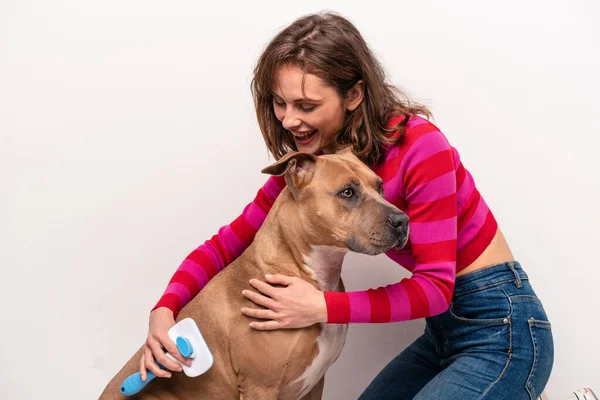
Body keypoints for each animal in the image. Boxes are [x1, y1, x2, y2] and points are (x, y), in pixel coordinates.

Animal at [99, 149, 408, 400]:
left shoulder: (315, 384)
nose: (402, 220)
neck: (310, 272)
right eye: (347, 193)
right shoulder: (261, 387)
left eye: (380, 186)